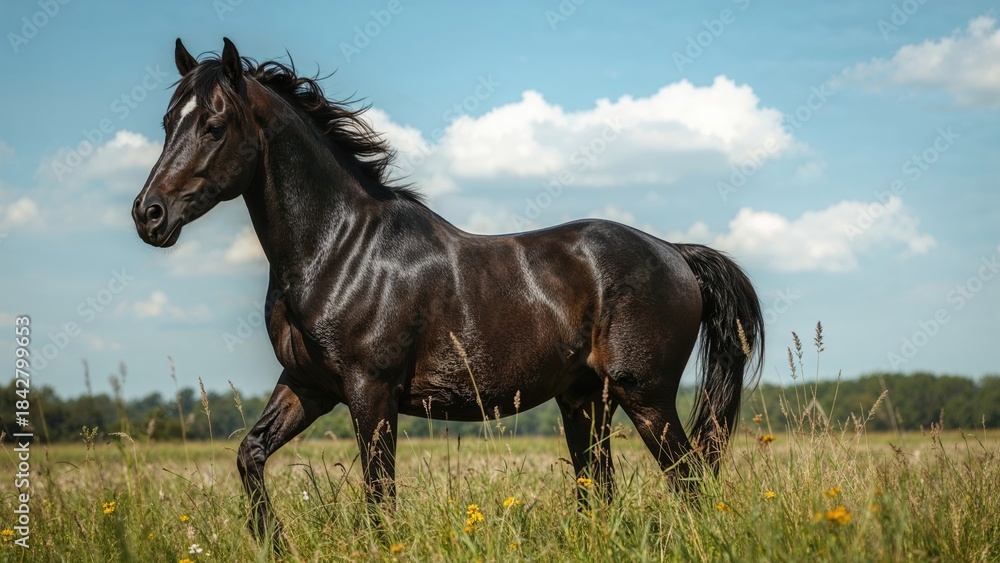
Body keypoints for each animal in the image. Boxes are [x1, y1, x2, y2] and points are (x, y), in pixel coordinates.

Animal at [132, 38, 764, 546]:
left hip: (646, 397)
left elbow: (379, 500)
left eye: (214, 125)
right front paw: (273, 542)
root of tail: (675, 253)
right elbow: (251, 455)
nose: (148, 214)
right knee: (602, 492)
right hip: (586, 401)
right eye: (167, 122)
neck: (341, 249)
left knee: (688, 481)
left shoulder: (370, 393)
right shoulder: (308, 386)